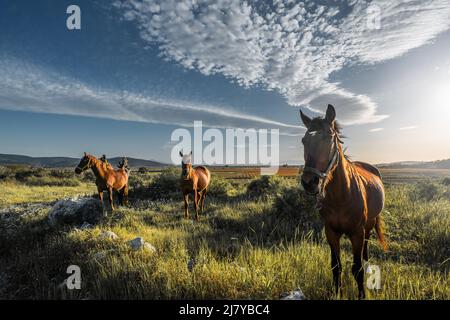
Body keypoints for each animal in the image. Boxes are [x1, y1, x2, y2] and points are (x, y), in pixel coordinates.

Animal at [298, 105, 386, 300]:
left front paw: (361, 294)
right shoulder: (331, 232)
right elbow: (336, 266)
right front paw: (337, 292)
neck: (341, 196)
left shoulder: (357, 233)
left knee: (366, 247)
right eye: (304, 140)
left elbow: (357, 269)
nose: (309, 182)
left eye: (330, 138)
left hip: (369, 224)